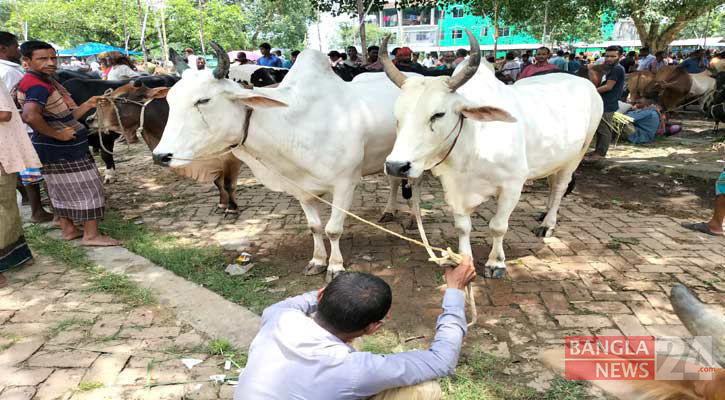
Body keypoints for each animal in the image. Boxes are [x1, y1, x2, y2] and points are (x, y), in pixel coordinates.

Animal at [89, 83, 243, 214]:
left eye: (121, 99)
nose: (90, 119)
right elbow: (218, 182)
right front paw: (222, 203)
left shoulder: (229, 155)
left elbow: (228, 183)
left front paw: (231, 208)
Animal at [151, 43, 412, 282]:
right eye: (170, 99)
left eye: (203, 100)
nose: (160, 155)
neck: (293, 124)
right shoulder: (302, 189)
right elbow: (315, 227)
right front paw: (318, 261)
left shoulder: (345, 184)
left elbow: (333, 229)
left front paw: (335, 266)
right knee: (394, 180)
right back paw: (389, 211)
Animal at [382, 30, 604, 278]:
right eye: (397, 116)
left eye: (438, 114)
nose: (396, 166)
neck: (472, 144)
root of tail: (584, 83)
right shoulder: (453, 187)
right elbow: (463, 227)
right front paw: (464, 261)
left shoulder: (512, 186)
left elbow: (498, 226)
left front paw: (496, 263)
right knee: (552, 183)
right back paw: (543, 213)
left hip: (577, 154)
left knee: (559, 188)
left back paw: (548, 223)